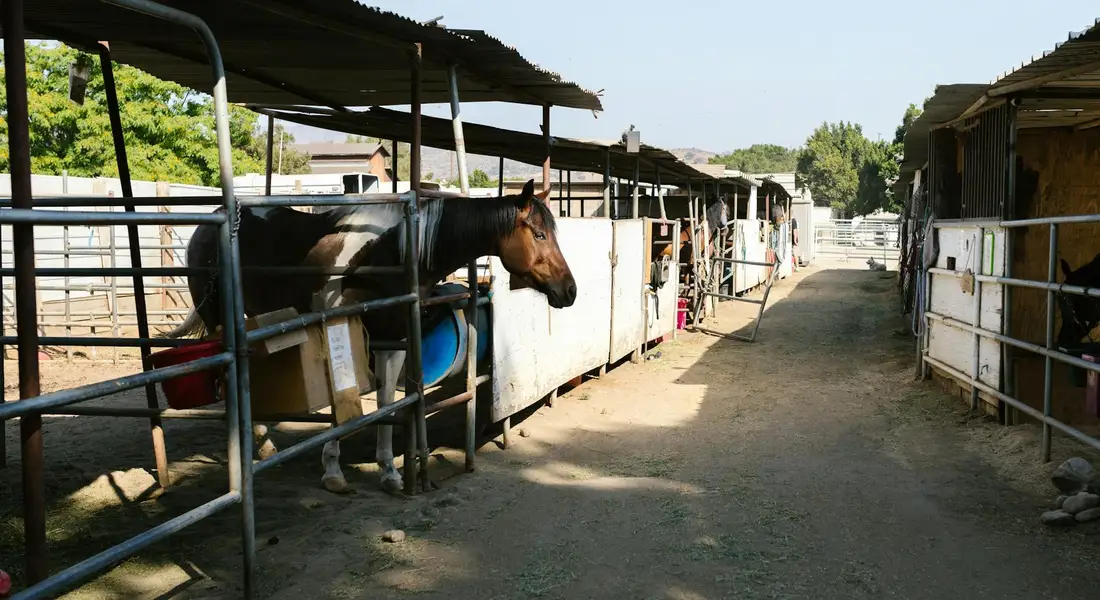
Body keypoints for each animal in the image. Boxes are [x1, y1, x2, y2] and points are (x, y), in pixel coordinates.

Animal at [164, 179, 577, 495]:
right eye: (539, 234)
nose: (570, 291)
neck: (392, 252)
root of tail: (210, 223)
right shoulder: (337, 333)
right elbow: (342, 406)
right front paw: (333, 471)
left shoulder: (392, 340)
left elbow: (385, 404)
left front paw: (390, 472)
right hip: (219, 321)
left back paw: (264, 446)